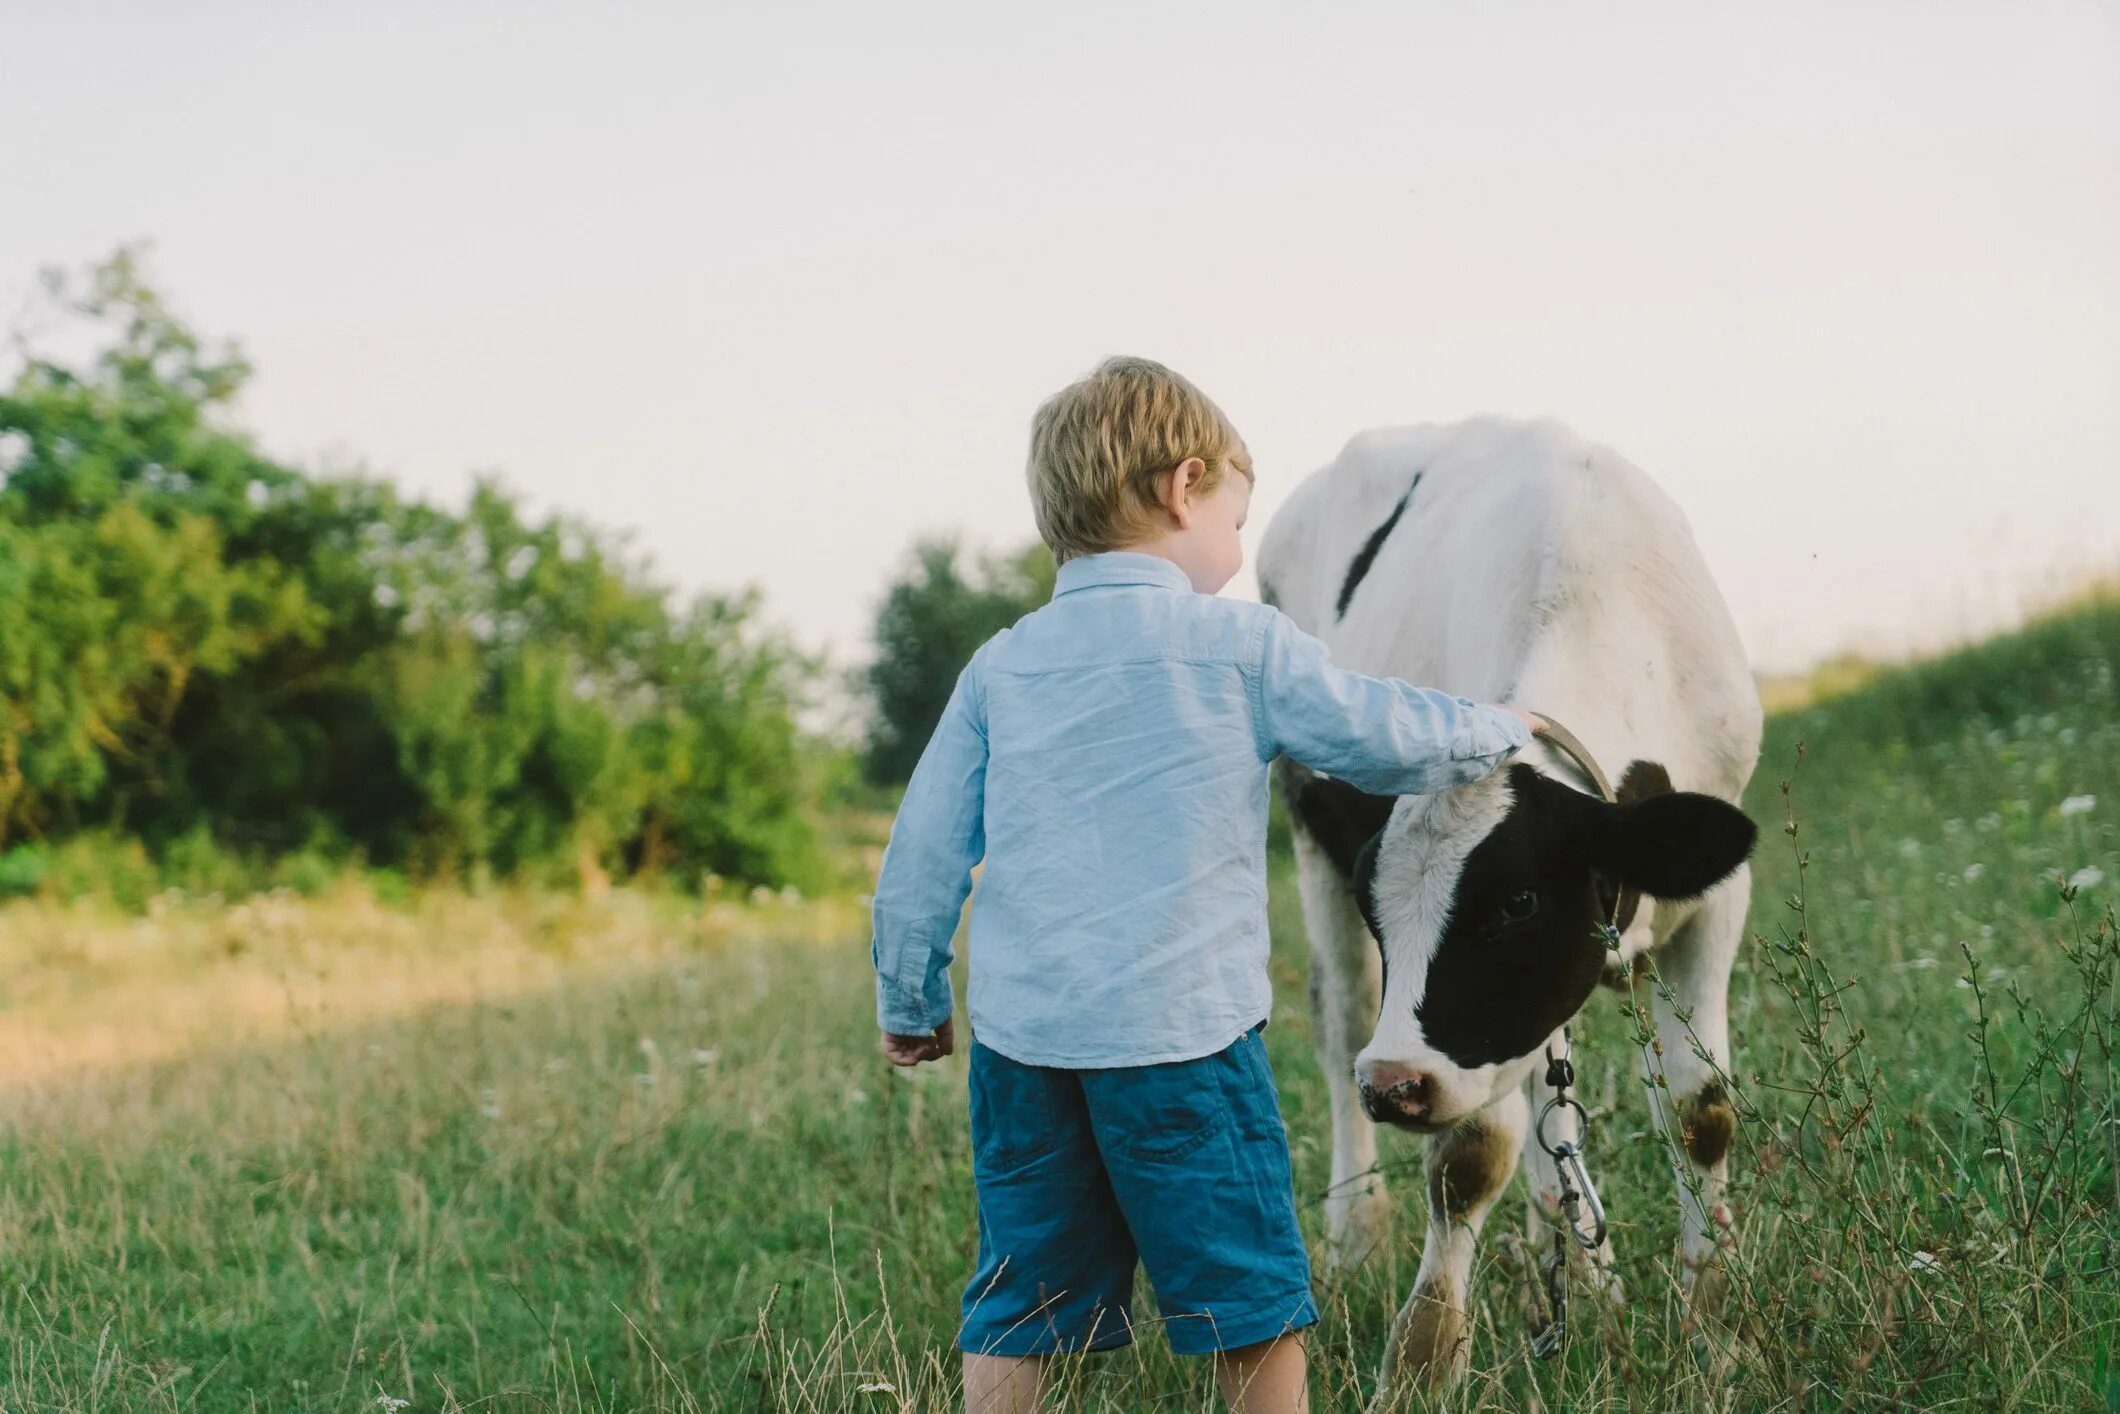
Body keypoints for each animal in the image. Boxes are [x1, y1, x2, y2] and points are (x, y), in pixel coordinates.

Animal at [1255, 415, 1755, 1399]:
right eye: (1380, 909)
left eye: (1519, 901)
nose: (1393, 1086)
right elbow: (1472, 1150)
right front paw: (1420, 1363)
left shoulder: (1714, 897)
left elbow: (1700, 1110)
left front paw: (1711, 1330)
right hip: (1302, 823)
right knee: (1341, 1021)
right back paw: (1356, 1233)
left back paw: (1581, 1280)